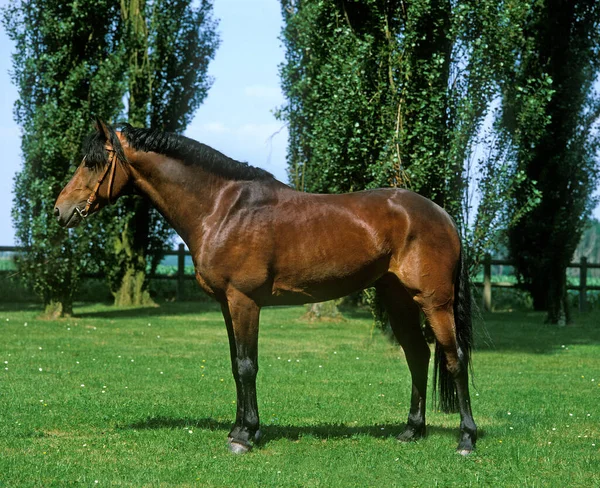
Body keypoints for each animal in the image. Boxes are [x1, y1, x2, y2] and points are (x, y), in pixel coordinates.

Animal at [56, 120, 478, 456]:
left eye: (92, 162)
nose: (60, 211)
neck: (222, 209)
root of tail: (442, 215)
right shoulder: (226, 304)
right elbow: (235, 365)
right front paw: (239, 428)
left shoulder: (244, 302)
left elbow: (247, 366)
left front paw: (245, 437)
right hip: (398, 299)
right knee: (417, 355)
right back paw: (411, 431)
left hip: (434, 301)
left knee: (454, 358)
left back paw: (466, 439)